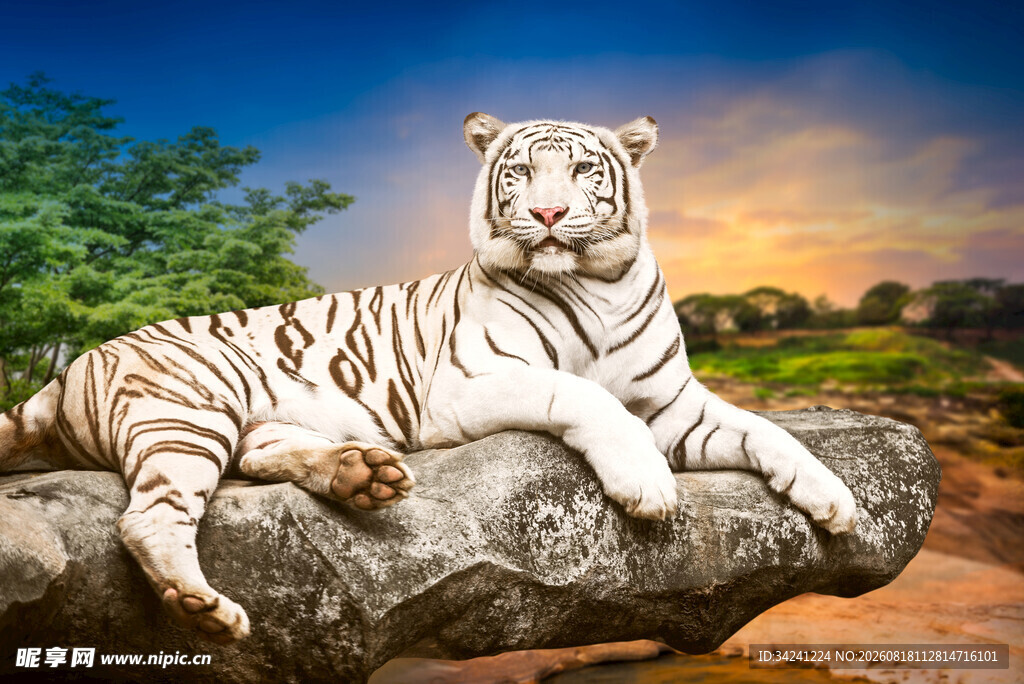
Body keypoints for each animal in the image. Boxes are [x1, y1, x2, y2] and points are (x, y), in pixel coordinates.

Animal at [0, 113, 857, 645]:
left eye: (582, 168)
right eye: (520, 173)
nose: (549, 216)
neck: (600, 280)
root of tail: (75, 363)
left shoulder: (675, 404)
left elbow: (767, 432)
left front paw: (837, 503)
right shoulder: (475, 381)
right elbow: (583, 393)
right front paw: (647, 486)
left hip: (243, 420)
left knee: (259, 454)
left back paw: (362, 476)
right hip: (190, 407)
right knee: (148, 518)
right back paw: (206, 608)